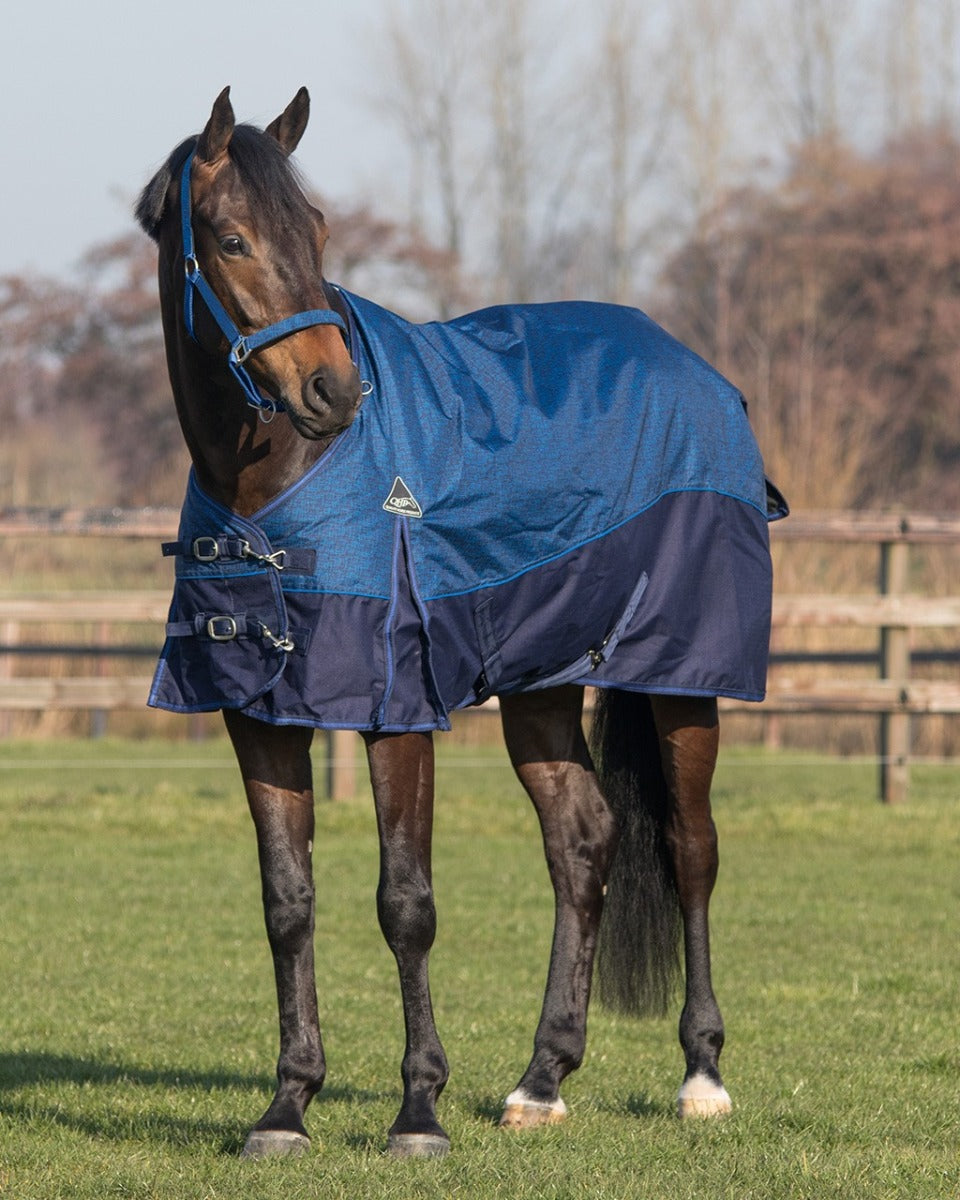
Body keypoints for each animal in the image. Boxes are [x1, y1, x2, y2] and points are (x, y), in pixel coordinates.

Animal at [135, 86, 784, 1159]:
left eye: (317, 230)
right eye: (231, 239)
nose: (334, 391)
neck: (274, 481)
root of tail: (703, 375)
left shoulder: (397, 706)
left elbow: (406, 904)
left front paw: (418, 1111)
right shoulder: (256, 713)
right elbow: (288, 904)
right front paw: (287, 1106)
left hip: (682, 680)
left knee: (691, 849)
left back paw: (702, 1076)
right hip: (543, 686)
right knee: (584, 842)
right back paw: (541, 1081)